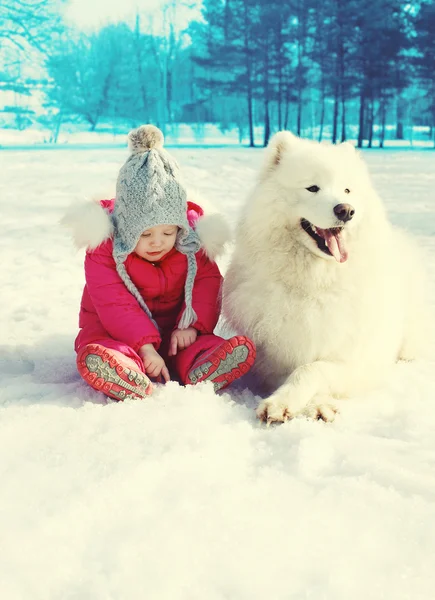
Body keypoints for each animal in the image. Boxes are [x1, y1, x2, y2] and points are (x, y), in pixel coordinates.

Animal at [225, 132, 430, 422]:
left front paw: (295, 402)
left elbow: (312, 369)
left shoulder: (359, 361)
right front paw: (296, 403)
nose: (346, 210)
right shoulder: (274, 359)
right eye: (312, 188)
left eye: (347, 190)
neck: (316, 282)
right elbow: (298, 370)